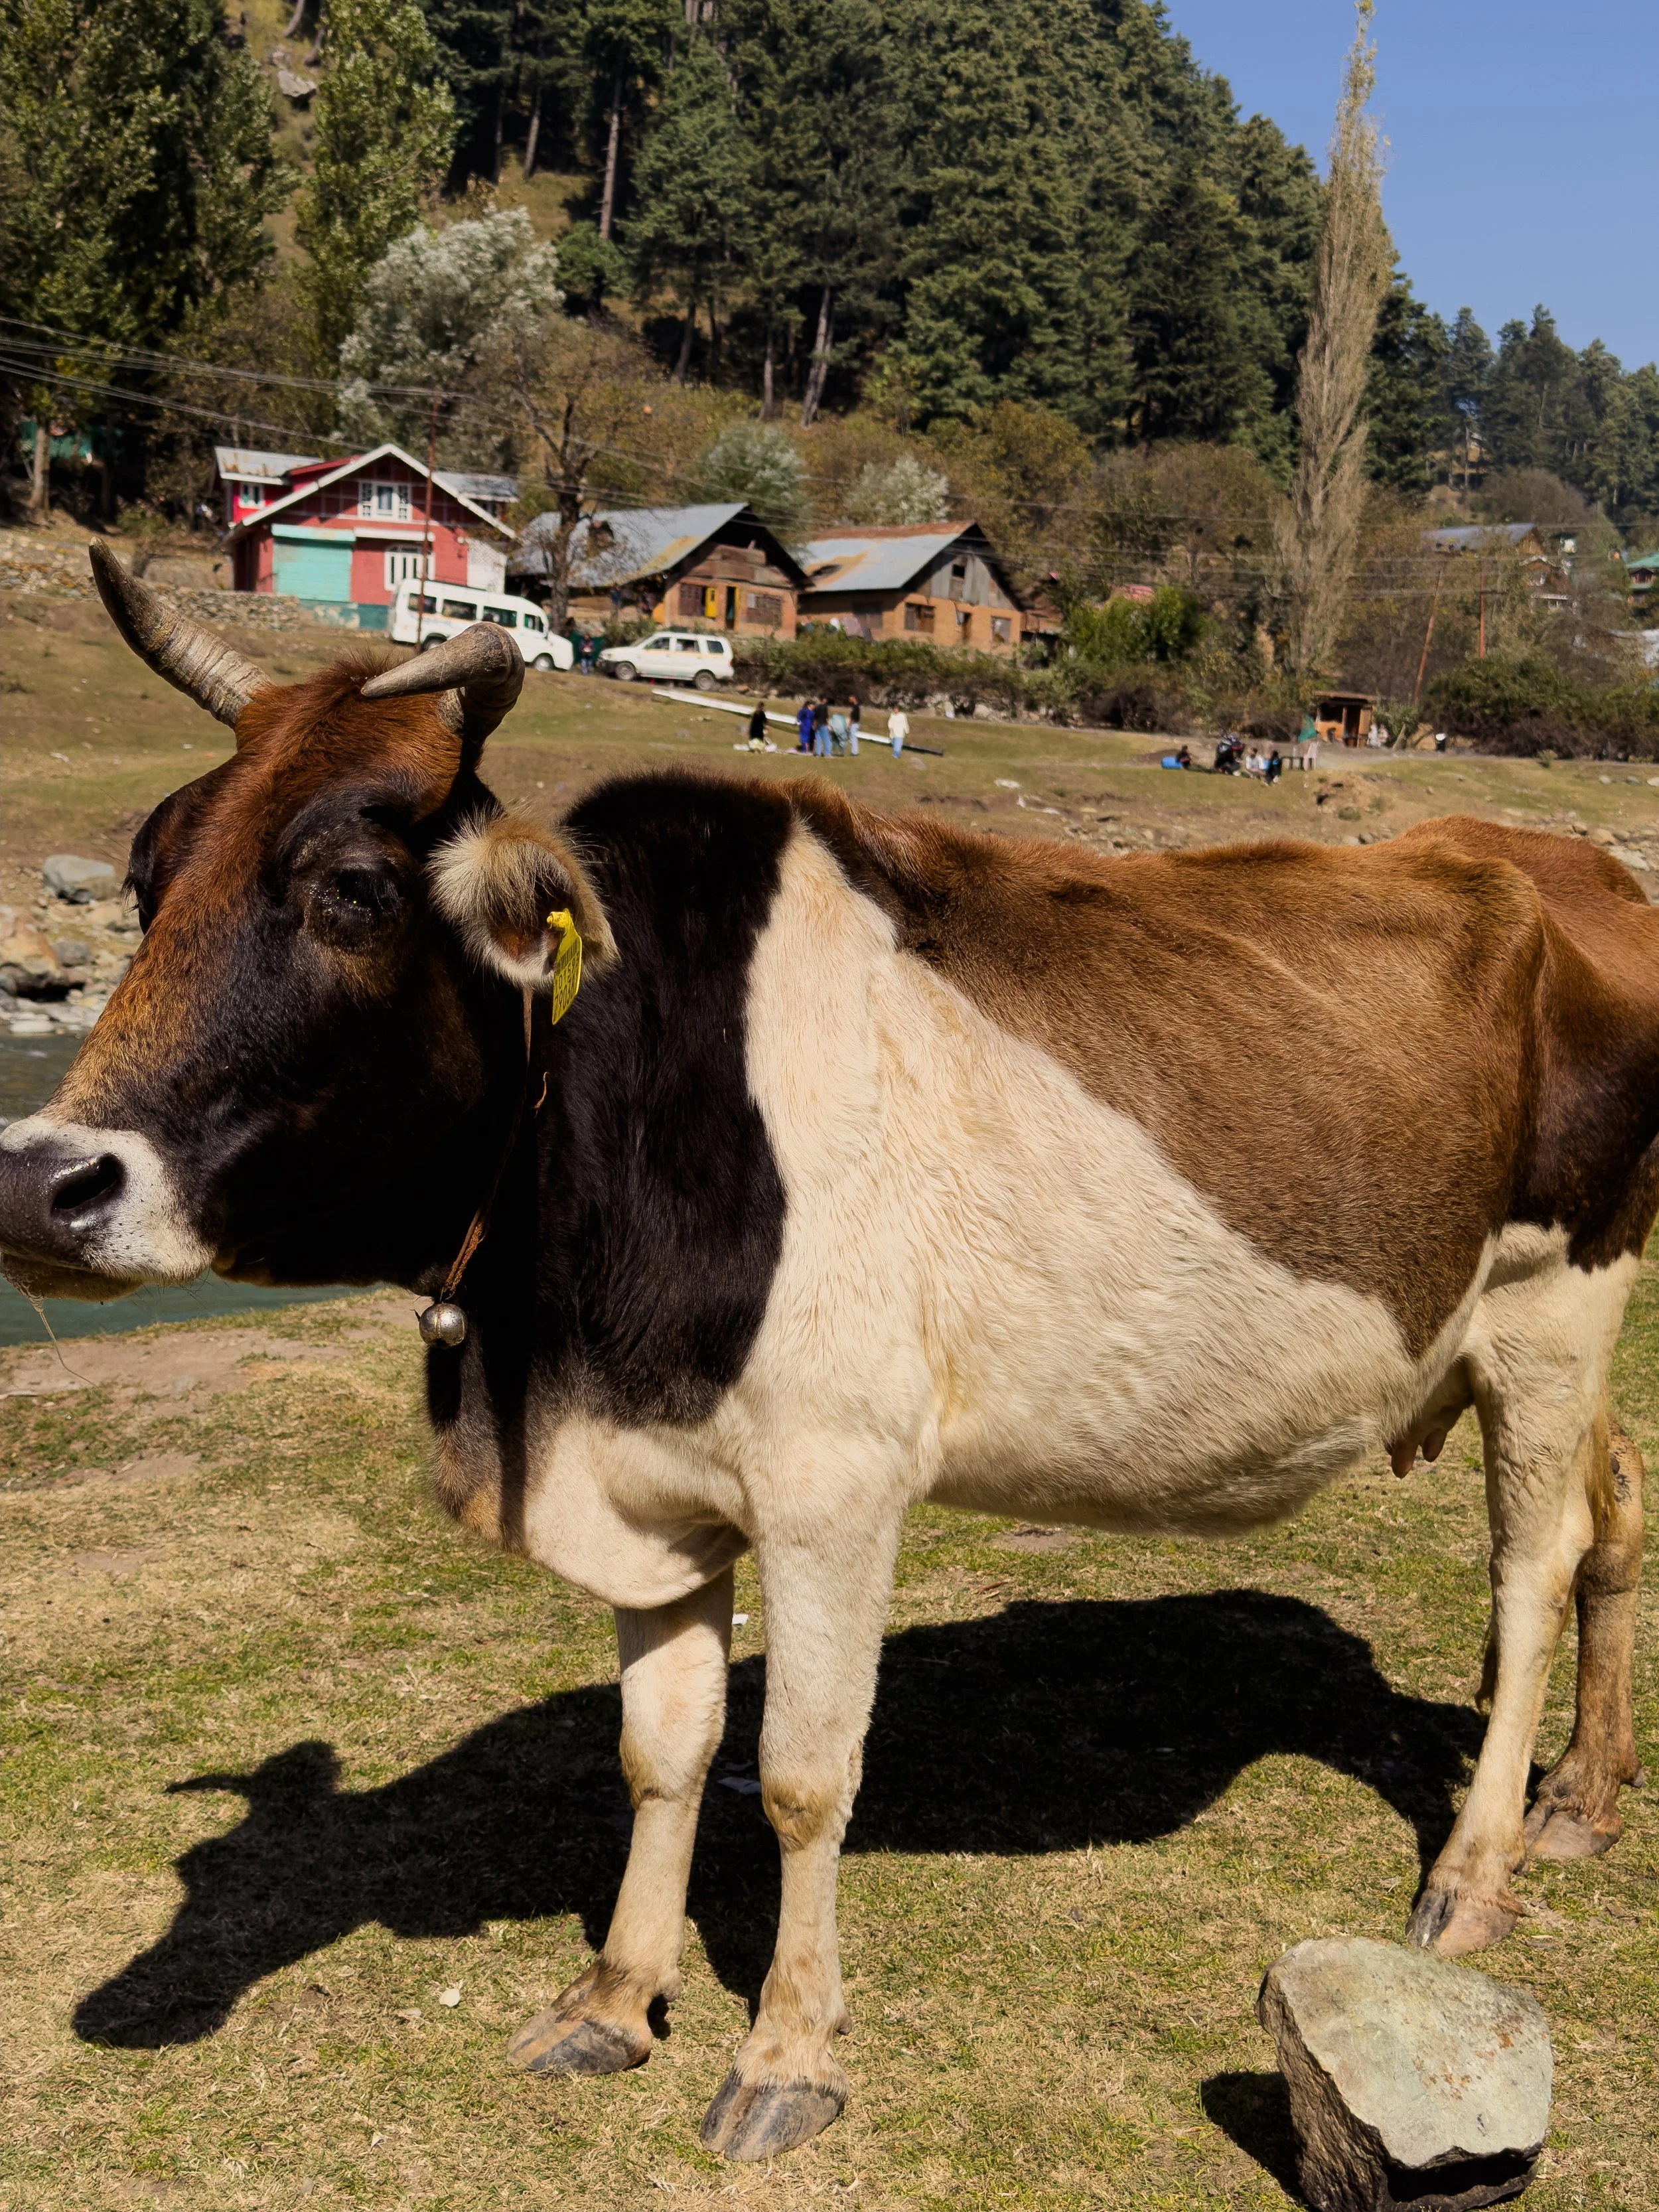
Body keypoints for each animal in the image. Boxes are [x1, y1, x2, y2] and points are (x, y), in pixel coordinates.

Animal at [0, 546, 1650, 2160]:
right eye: (147, 874)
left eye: (349, 887)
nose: (42, 1182)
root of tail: (1548, 858)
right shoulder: (651, 1471)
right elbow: (662, 1748)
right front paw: (616, 1997)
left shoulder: (831, 1483)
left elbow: (799, 1777)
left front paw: (788, 2050)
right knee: (1612, 1511)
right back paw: (1579, 1796)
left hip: (1549, 1306)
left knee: (1527, 1567)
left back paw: (1476, 1866)